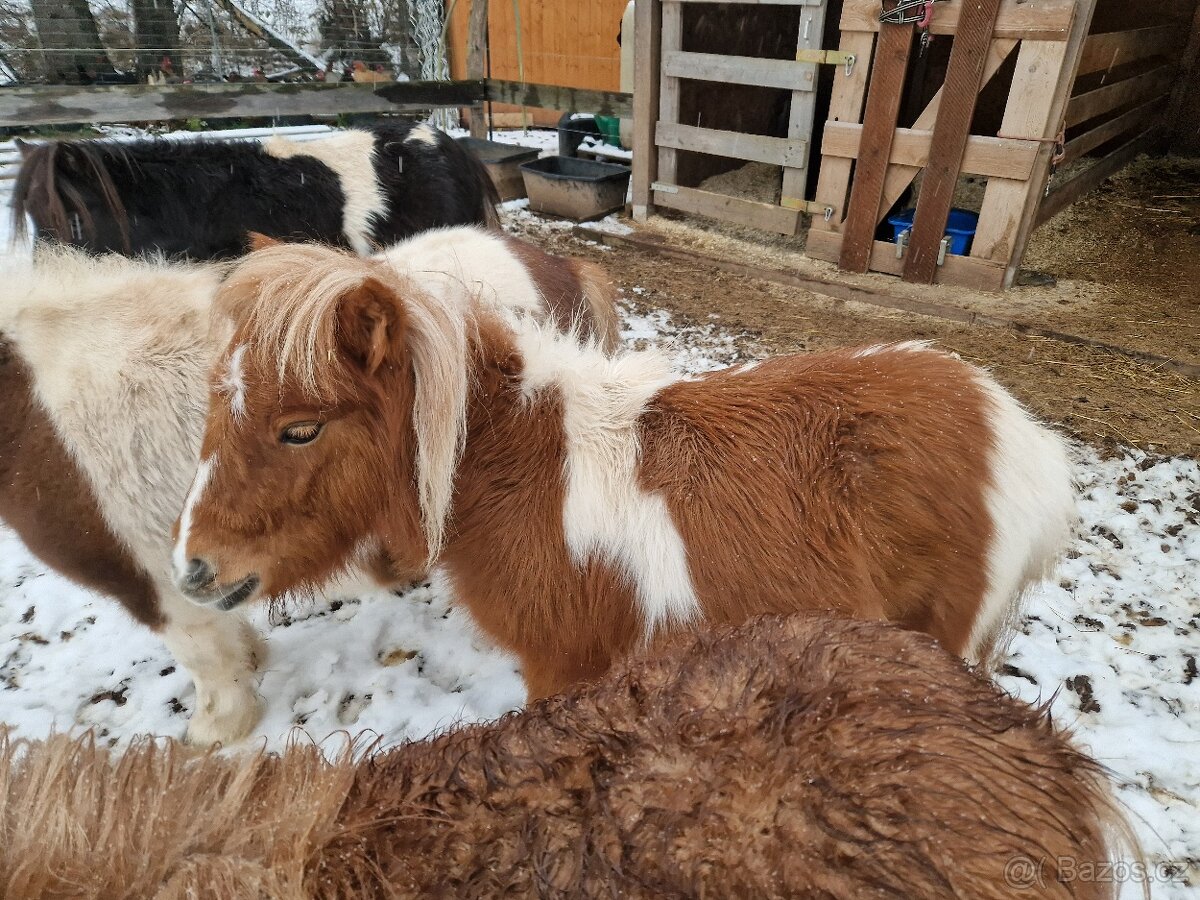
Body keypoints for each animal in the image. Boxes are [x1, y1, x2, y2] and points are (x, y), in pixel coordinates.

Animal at [0, 230, 618, 745]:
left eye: (300, 431)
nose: (196, 568)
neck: (40, 408)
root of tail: (557, 264)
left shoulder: (152, 582)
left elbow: (206, 661)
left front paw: (216, 731)